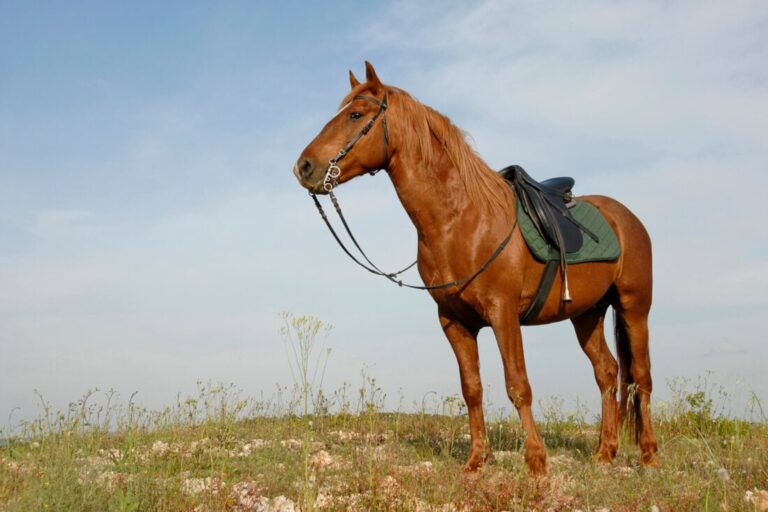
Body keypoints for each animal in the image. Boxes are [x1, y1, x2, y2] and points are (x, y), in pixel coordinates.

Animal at [293, 62, 658, 475]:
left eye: (356, 115)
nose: (304, 167)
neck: (460, 220)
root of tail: (625, 217)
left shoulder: (503, 315)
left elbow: (518, 386)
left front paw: (536, 461)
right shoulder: (454, 321)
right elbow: (472, 389)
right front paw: (476, 460)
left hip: (634, 308)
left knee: (641, 377)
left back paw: (648, 455)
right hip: (587, 314)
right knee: (608, 373)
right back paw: (604, 453)